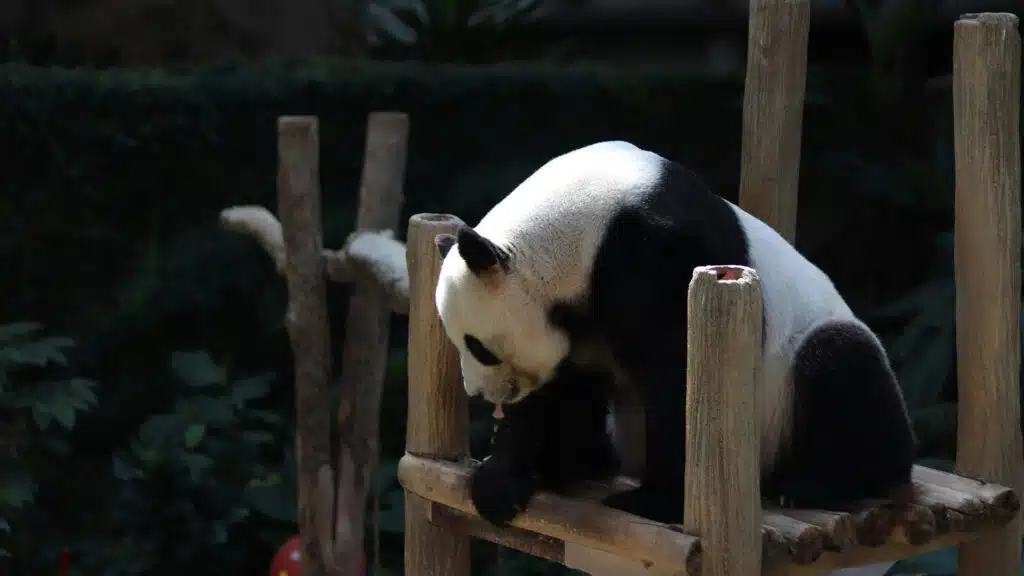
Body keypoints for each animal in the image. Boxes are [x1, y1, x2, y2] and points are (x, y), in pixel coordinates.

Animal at [433, 141, 917, 527]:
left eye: (479, 347)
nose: (478, 393)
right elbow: (559, 387)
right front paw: (502, 482)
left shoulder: (660, 255)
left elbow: (678, 372)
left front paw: (656, 501)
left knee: (843, 369)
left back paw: (811, 484)